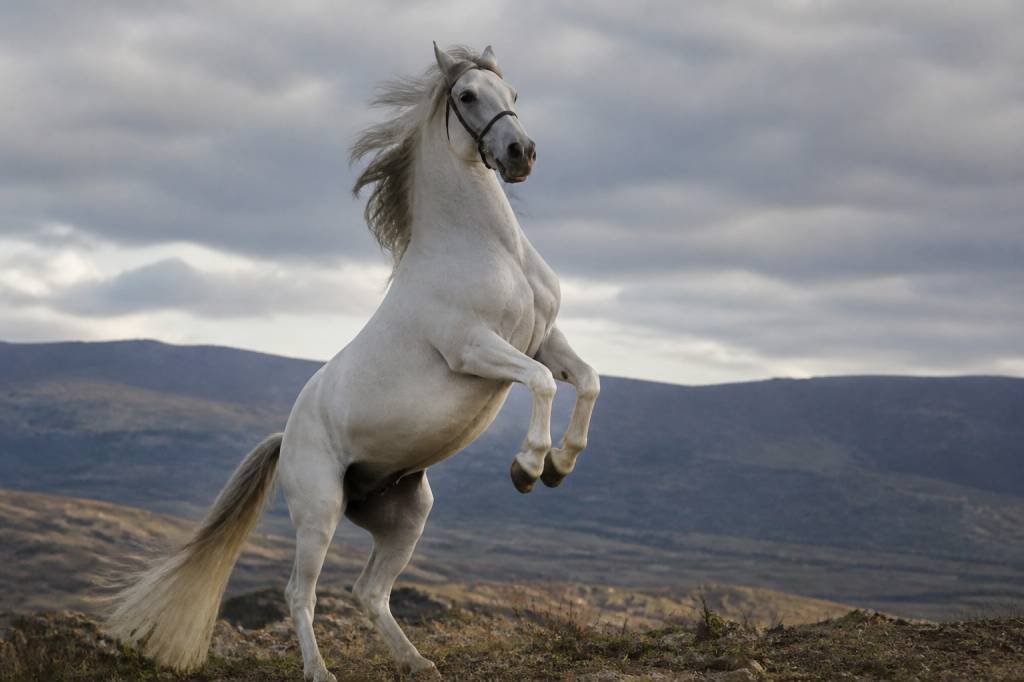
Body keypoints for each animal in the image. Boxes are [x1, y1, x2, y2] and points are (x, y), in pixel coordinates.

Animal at [105, 43, 601, 681]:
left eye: (513, 93)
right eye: (467, 96)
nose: (521, 153)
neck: (489, 249)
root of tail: (285, 438)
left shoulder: (544, 337)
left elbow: (586, 380)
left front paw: (561, 465)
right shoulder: (474, 348)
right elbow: (542, 384)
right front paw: (528, 467)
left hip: (406, 513)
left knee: (370, 592)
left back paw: (417, 663)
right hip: (320, 512)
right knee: (301, 592)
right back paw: (321, 670)